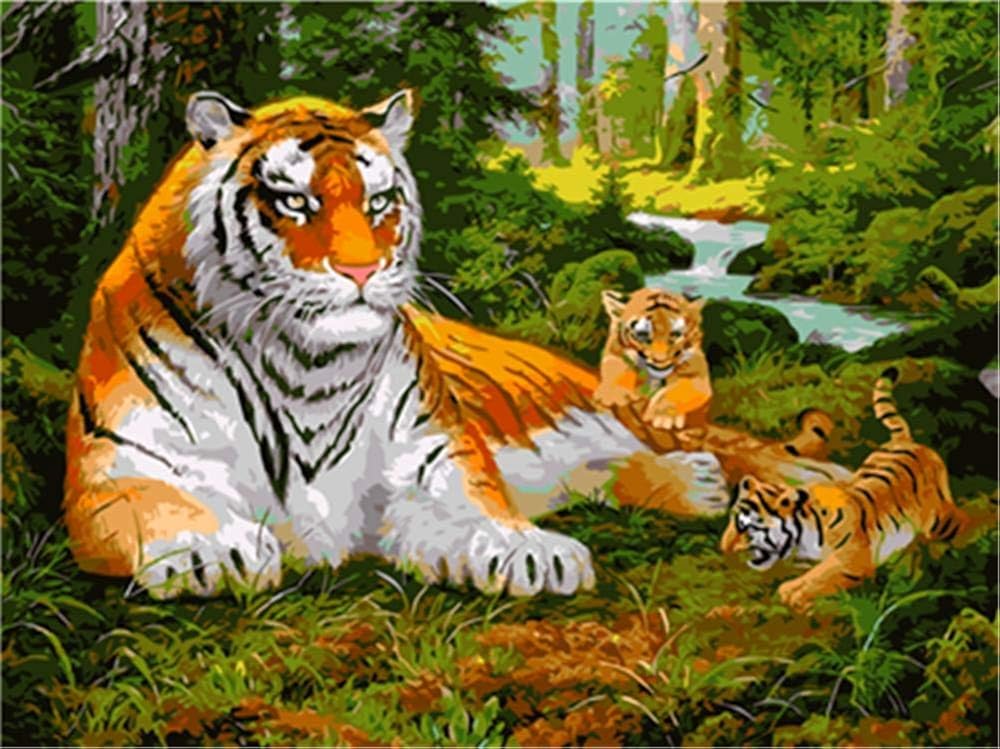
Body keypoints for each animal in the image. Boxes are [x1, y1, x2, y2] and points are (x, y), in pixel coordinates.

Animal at [594, 288, 711, 430]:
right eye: (642, 334)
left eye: (675, 334)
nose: (660, 360)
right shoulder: (615, 352)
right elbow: (616, 369)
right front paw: (613, 395)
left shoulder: (696, 370)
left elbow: (676, 390)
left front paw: (662, 416)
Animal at [720, 367, 970, 610]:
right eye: (733, 519)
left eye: (749, 526)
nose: (724, 549)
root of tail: (904, 441)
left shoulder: (853, 558)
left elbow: (821, 576)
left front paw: (792, 592)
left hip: (939, 517)